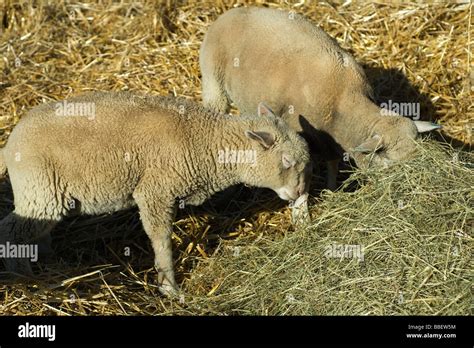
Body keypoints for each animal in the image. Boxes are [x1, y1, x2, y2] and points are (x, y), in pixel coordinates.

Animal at [0, 91, 312, 294]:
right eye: (286, 161)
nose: (299, 191)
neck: (203, 141)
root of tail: (11, 141)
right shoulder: (155, 191)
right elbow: (160, 238)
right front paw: (170, 287)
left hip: (46, 194)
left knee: (37, 230)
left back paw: (47, 263)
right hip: (40, 190)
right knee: (12, 229)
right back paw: (22, 276)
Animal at [199, 4, 440, 188]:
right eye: (390, 160)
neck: (344, 103)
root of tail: (228, 13)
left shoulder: (331, 138)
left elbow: (333, 162)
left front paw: (332, 187)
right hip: (214, 83)